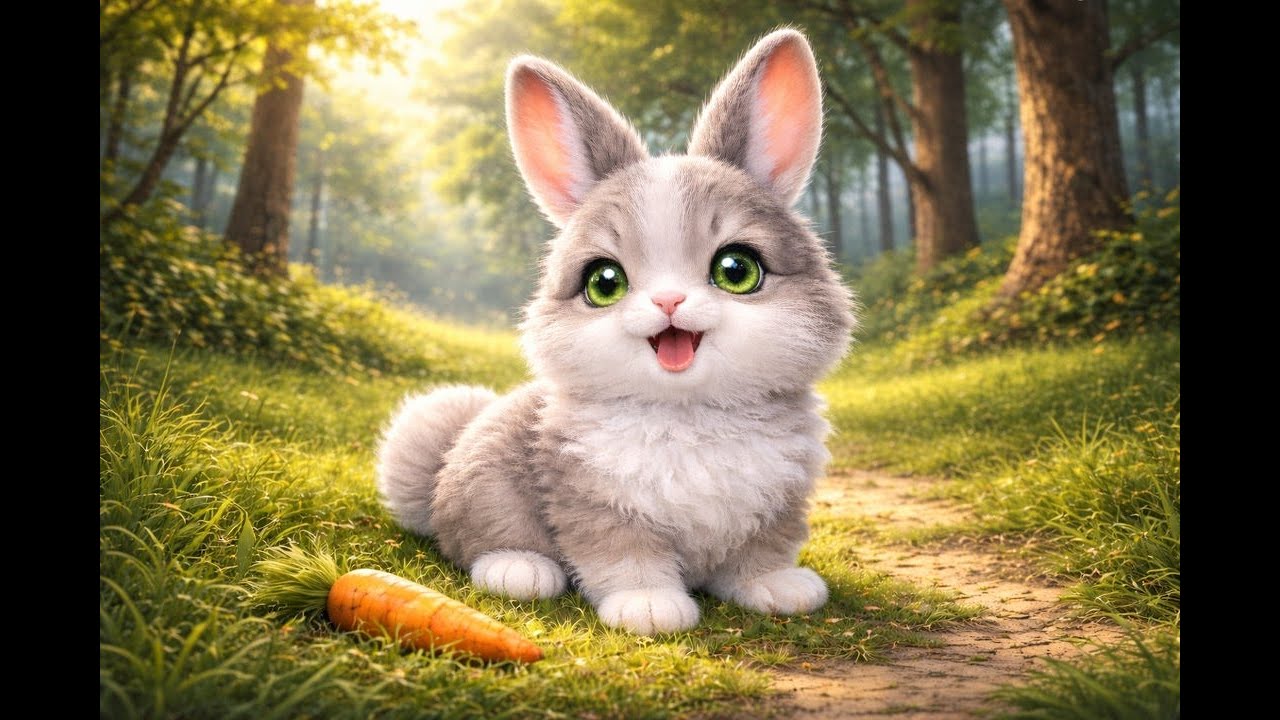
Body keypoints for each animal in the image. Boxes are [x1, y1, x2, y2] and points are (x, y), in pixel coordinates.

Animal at [377, 28, 855, 636]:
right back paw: (519, 571)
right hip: (486, 494)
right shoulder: (597, 509)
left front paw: (781, 590)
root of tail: (442, 468)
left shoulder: (776, 507)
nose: (669, 301)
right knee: (475, 542)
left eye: (737, 269)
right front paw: (649, 610)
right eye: (604, 282)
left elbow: (760, 555)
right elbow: (626, 561)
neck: (688, 411)